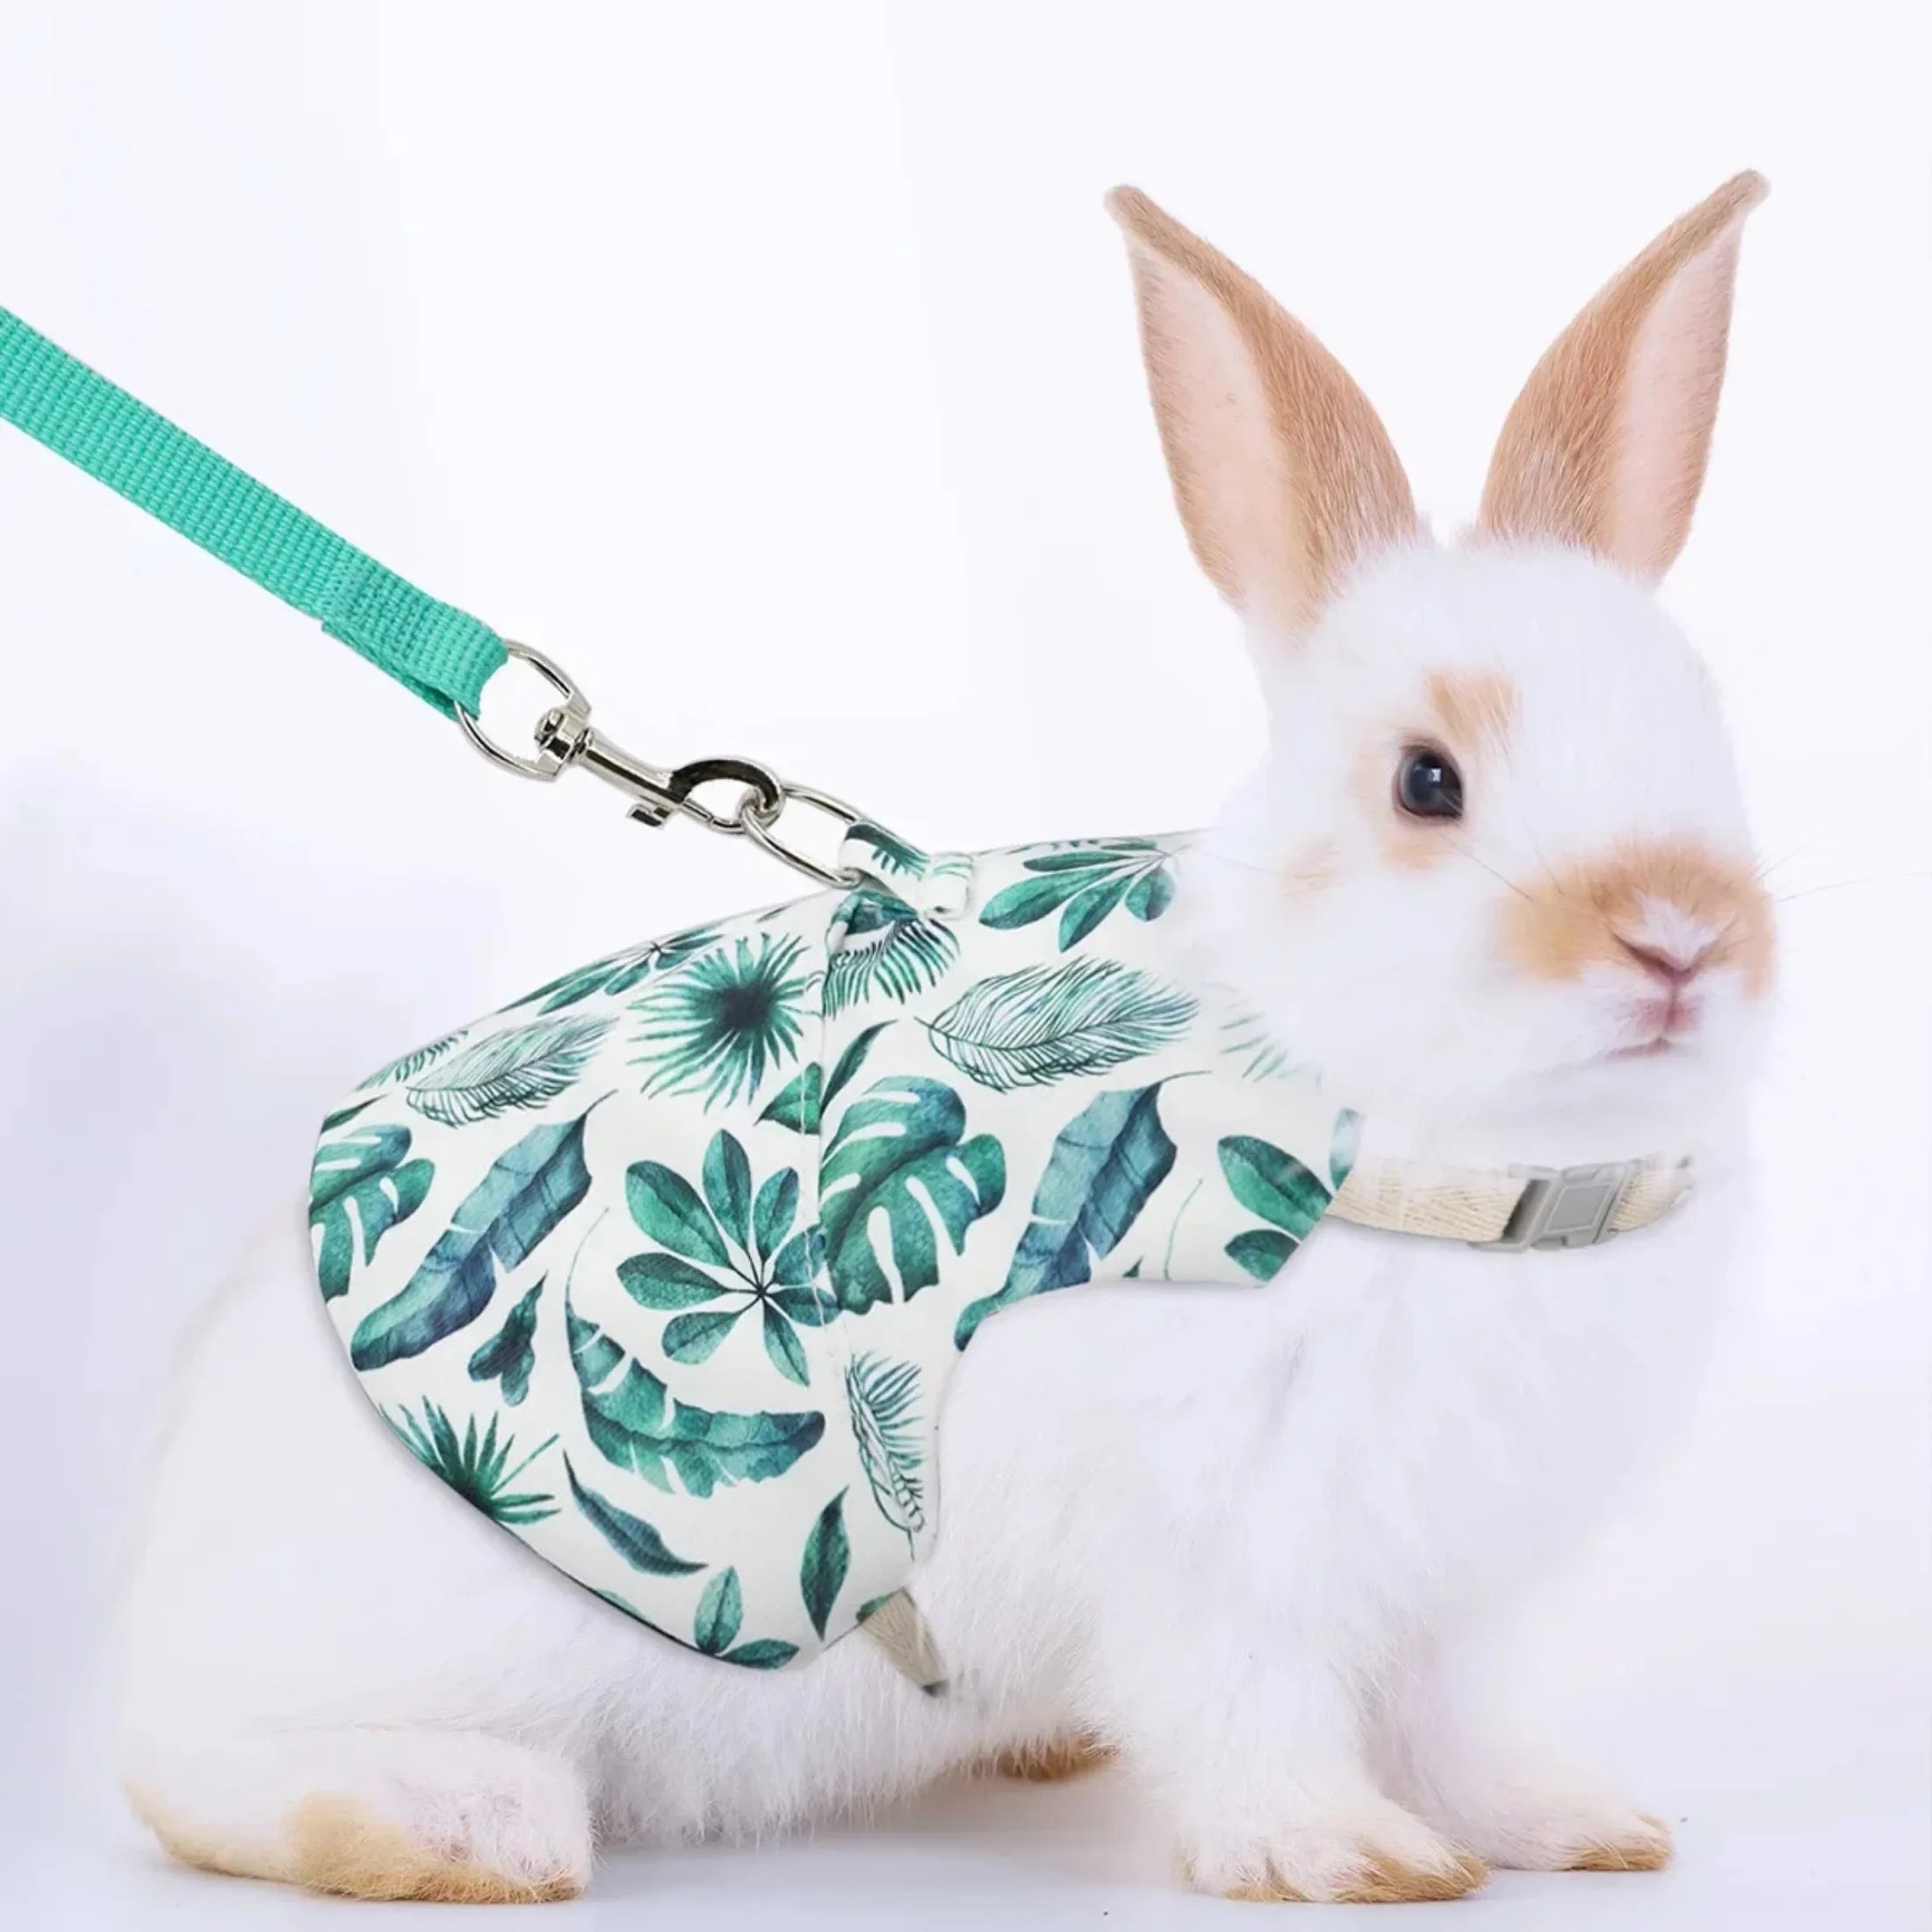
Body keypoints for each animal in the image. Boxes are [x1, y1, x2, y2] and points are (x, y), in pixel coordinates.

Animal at [116, 170, 1772, 1905]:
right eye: (1427, 783)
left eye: (1703, 727)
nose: (1683, 939)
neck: (1425, 1159)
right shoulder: (1217, 1563)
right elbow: (1252, 1720)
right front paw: (1347, 1857)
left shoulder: (1454, 1593)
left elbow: (1467, 1733)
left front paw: (1581, 1829)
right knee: (201, 1785)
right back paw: (464, 1826)